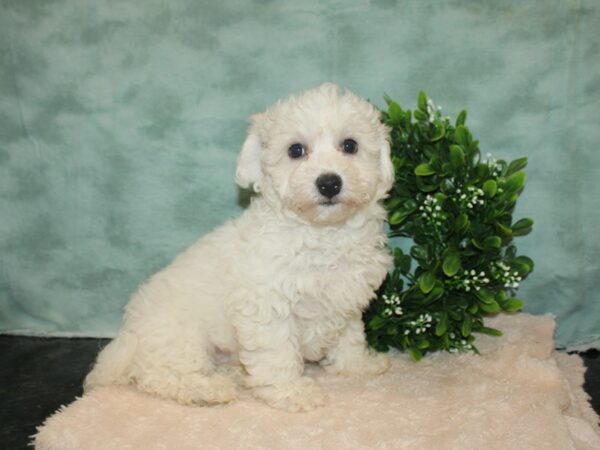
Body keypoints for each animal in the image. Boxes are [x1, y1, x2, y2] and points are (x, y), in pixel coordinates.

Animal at [84, 81, 394, 412]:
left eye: (350, 145)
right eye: (295, 150)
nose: (329, 183)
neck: (323, 233)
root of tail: (128, 336)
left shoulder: (345, 299)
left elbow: (350, 337)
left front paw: (358, 366)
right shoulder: (268, 307)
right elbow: (277, 354)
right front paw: (291, 391)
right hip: (180, 339)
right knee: (159, 376)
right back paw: (208, 389)